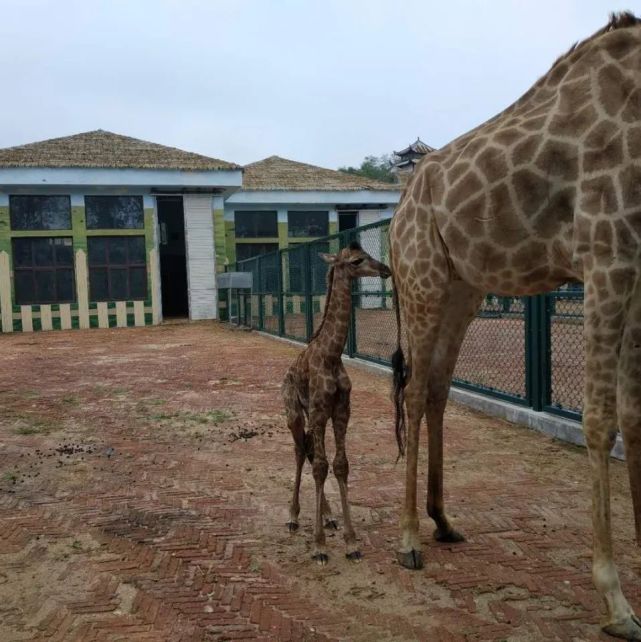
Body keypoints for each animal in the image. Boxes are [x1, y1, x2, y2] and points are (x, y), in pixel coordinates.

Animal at [284, 242, 392, 564]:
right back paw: (293, 518)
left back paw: (328, 517)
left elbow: (340, 465)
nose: (385, 269)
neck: (332, 355)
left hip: (310, 417)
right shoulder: (320, 411)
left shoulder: (342, 412)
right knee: (300, 450)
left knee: (308, 448)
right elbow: (321, 467)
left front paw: (351, 541)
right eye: (357, 260)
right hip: (294, 414)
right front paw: (319, 547)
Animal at [388, 12, 640, 636]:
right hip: (423, 278)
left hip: (464, 288)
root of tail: (399, 207)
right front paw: (616, 601)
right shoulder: (608, 253)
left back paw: (443, 520)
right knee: (413, 392)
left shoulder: (639, 264)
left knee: (436, 387)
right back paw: (408, 541)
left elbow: (635, 416)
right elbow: (600, 420)